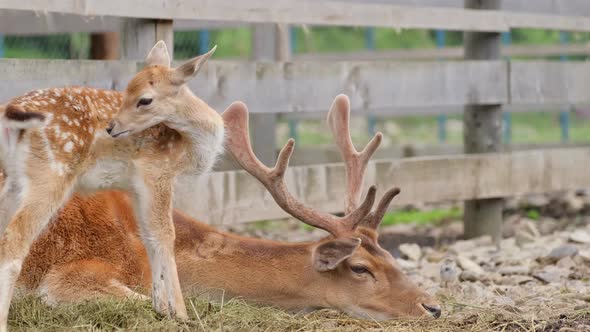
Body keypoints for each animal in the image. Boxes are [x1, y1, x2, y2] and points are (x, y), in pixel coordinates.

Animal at [0, 39, 222, 330]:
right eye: (127, 92)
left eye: (144, 99)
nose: (111, 127)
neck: (189, 146)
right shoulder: (157, 172)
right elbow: (166, 236)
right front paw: (183, 314)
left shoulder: (136, 185)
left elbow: (149, 238)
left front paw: (162, 309)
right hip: (50, 173)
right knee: (14, 243)